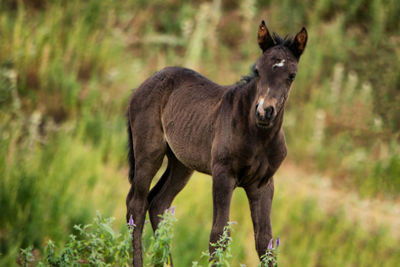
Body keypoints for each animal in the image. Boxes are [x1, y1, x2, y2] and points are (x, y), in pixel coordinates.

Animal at [126, 19, 308, 266]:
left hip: (182, 164)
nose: (264, 111)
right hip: (149, 152)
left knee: (158, 203)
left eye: (291, 75)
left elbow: (265, 242)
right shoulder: (223, 174)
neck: (258, 137)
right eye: (258, 71)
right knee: (137, 203)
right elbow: (218, 234)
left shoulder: (263, 184)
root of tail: (142, 85)